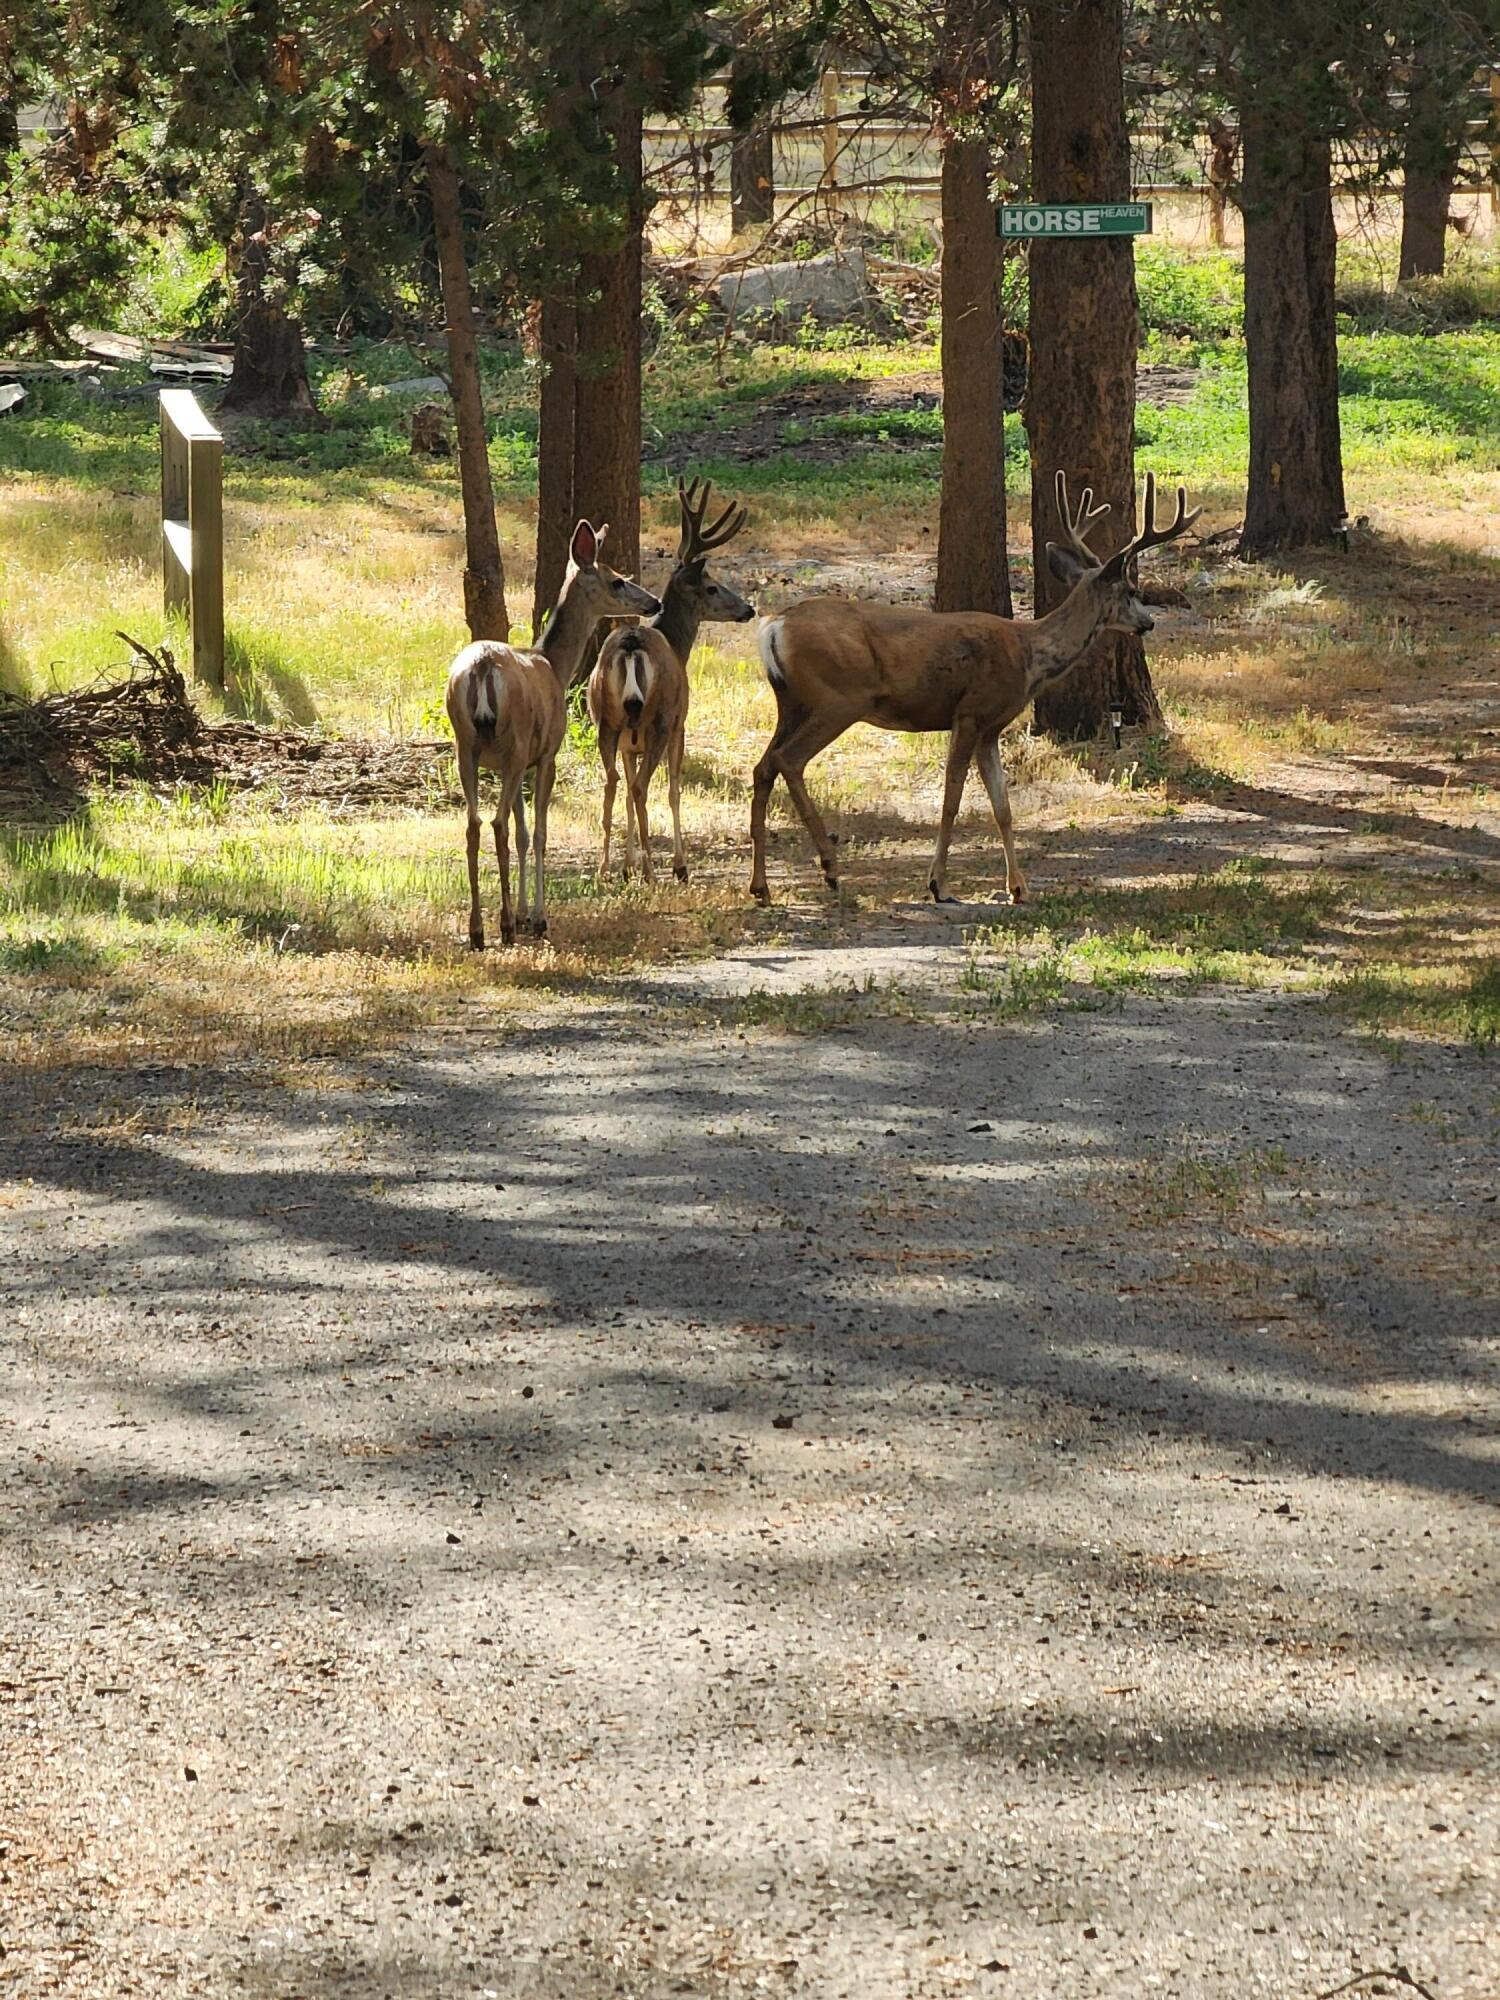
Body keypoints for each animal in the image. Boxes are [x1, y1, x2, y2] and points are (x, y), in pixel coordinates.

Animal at [445, 519, 660, 949]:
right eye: (616, 581)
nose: (654, 603)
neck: (554, 665)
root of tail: (481, 667)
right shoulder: (545, 756)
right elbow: (539, 833)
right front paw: (537, 918)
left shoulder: (519, 764)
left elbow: (523, 832)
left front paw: (524, 911)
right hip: (511, 742)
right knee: (496, 824)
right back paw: (503, 926)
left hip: (467, 746)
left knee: (474, 825)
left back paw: (478, 930)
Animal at [588, 478, 755, 884]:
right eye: (712, 587)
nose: (749, 609)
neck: (677, 644)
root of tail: (631, 645)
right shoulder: (681, 724)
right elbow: (675, 790)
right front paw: (679, 865)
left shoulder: (630, 743)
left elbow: (627, 797)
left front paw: (627, 864)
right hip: (660, 720)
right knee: (641, 787)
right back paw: (652, 871)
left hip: (607, 721)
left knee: (614, 784)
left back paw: (607, 868)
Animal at [749, 470, 1200, 908]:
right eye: (1130, 592)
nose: (1148, 622)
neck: (1028, 655)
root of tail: (775, 626)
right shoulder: (969, 713)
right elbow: (952, 799)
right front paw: (938, 884)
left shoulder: (990, 729)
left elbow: (1003, 808)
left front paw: (1018, 888)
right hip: (839, 698)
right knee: (789, 760)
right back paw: (829, 867)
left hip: (791, 702)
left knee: (763, 766)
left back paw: (762, 887)